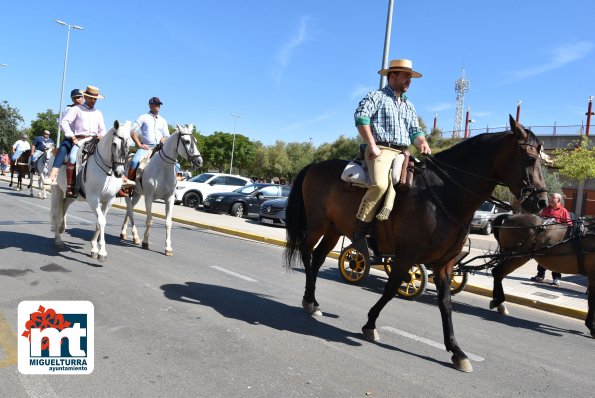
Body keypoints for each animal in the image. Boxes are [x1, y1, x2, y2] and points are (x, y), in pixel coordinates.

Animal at [51, 119, 132, 262]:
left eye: (129, 145)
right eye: (114, 144)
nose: (119, 172)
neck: (107, 171)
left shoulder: (109, 200)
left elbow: (99, 222)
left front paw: (94, 248)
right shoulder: (93, 199)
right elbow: (101, 221)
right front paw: (102, 252)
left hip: (72, 195)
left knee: (64, 205)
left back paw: (62, 228)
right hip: (57, 191)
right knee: (56, 213)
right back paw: (58, 239)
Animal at [120, 123, 204, 255]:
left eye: (195, 141)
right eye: (186, 141)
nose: (199, 161)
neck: (163, 168)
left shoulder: (169, 198)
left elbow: (168, 222)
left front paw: (168, 248)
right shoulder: (149, 197)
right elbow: (149, 220)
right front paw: (145, 242)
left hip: (138, 194)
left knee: (130, 210)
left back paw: (128, 235)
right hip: (129, 193)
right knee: (130, 210)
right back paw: (134, 236)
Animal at [286, 116, 548, 374]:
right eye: (529, 158)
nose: (542, 201)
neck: (444, 196)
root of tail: (315, 166)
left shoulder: (444, 264)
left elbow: (445, 304)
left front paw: (457, 352)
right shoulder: (406, 256)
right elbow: (391, 290)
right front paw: (370, 324)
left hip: (334, 229)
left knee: (318, 258)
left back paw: (313, 301)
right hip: (317, 225)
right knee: (308, 255)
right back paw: (308, 301)